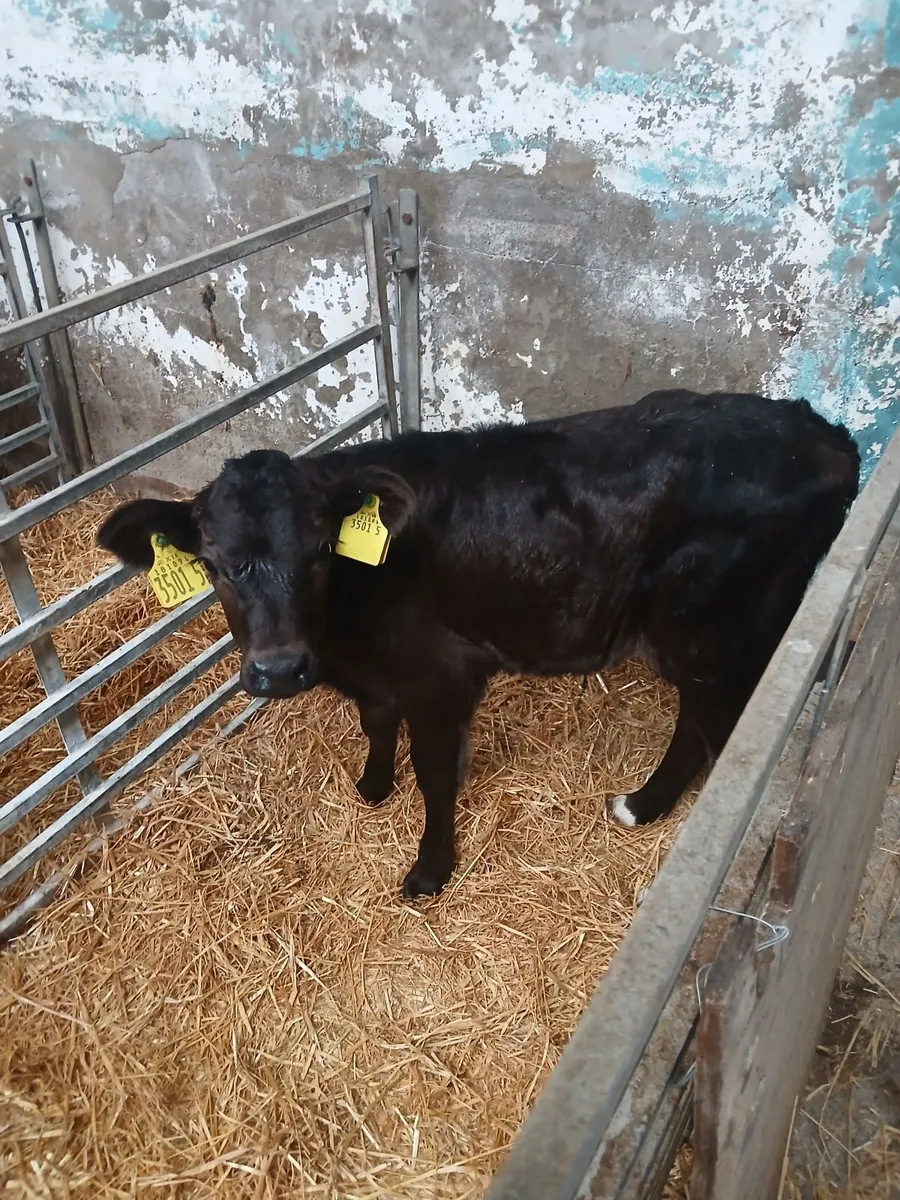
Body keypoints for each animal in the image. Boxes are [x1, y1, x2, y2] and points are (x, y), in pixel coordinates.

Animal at [96, 391, 860, 900]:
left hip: (718, 637)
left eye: (320, 549)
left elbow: (436, 777)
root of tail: (824, 434)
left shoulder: (441, 678)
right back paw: (642, 806)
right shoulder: (381, 675)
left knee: (718, 729)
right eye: (215, 564)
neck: (347, 630)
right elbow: (377, 722)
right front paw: (372, 787)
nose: (280, 669)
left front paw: (429, 871)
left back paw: (662, 813)